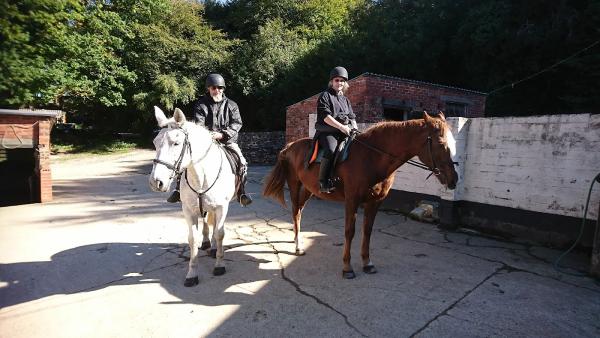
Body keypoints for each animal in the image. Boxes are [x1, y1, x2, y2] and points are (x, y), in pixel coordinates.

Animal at [148, 107, 237, 286]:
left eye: (176, 143)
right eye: (155, 142)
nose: (156, 182)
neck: (202, 176)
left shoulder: (222, 207)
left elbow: (220, 233)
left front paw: (219, 265)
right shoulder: (189, 210)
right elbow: (192, 239)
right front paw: (192, 274)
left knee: (215, 228)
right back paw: (208, 243)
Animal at [264, 112, 460, 278]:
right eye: (441, 143)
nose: (454, 179)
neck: (371, 157)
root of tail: (289, 147)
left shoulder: (375, 202)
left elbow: (367, 231)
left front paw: (367, 263)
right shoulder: (352, 201)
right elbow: (349, 232)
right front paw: (347, 267)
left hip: (308, 189)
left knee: (299, 211)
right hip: (295, 186)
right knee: (295, 213)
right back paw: (297, 247)